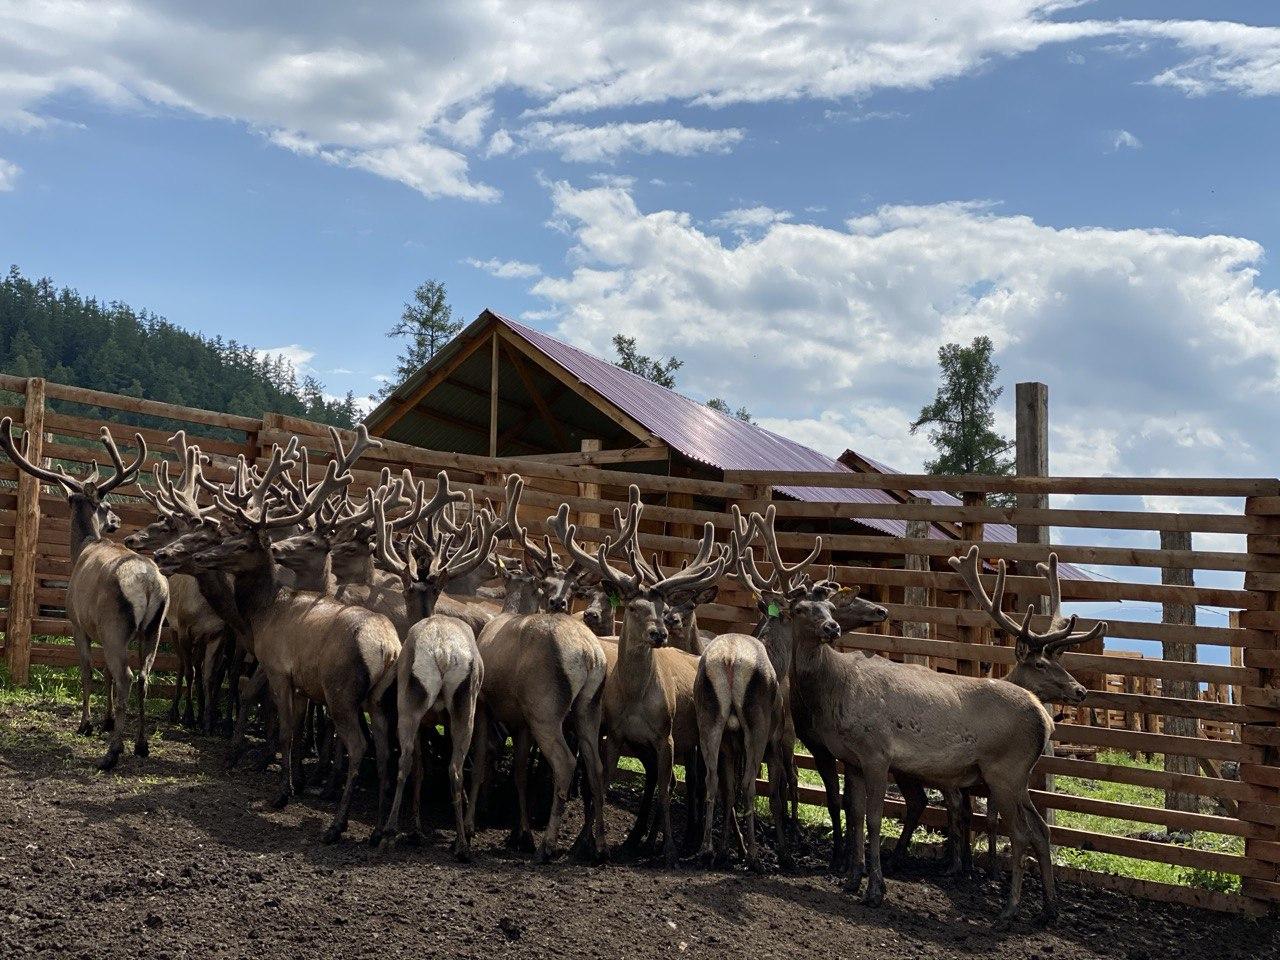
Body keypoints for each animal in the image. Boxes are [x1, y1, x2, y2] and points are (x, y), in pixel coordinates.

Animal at [0, 417, 170, 773]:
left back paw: (112, 753)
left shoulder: (79, 624)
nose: (117, 520)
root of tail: (149, 583)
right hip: (153, 627)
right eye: (107, 505)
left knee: (127, 676)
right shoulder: (102, 629)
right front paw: (106, 720)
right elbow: (105, 675)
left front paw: (87, 724)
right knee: (143, 676)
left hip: (115, 623)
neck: (81, 549)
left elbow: (88, 671)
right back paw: (141, 745)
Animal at [158, 440, 401, 844]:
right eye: (226, 538)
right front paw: (290, 780)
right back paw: (379, 830)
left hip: (341, 692)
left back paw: (337, 825)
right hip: (379, 701)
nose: (163, 553)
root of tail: (388, 649)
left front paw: (281, 792)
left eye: (241, 544)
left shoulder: (277, 668)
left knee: (359, 746)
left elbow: (284, 728)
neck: (260, 614)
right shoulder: (300, 682)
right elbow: (295, 729)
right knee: (385, 753)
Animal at [371, 471, 499, 855]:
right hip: (466, 702)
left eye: (405, 591)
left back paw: (388, 831)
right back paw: (462, 841)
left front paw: (412, 826)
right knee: (457, 768)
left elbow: (418, 768)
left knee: (404, 760)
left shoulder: (421, 716)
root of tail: (443, 653)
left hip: (410, 699)